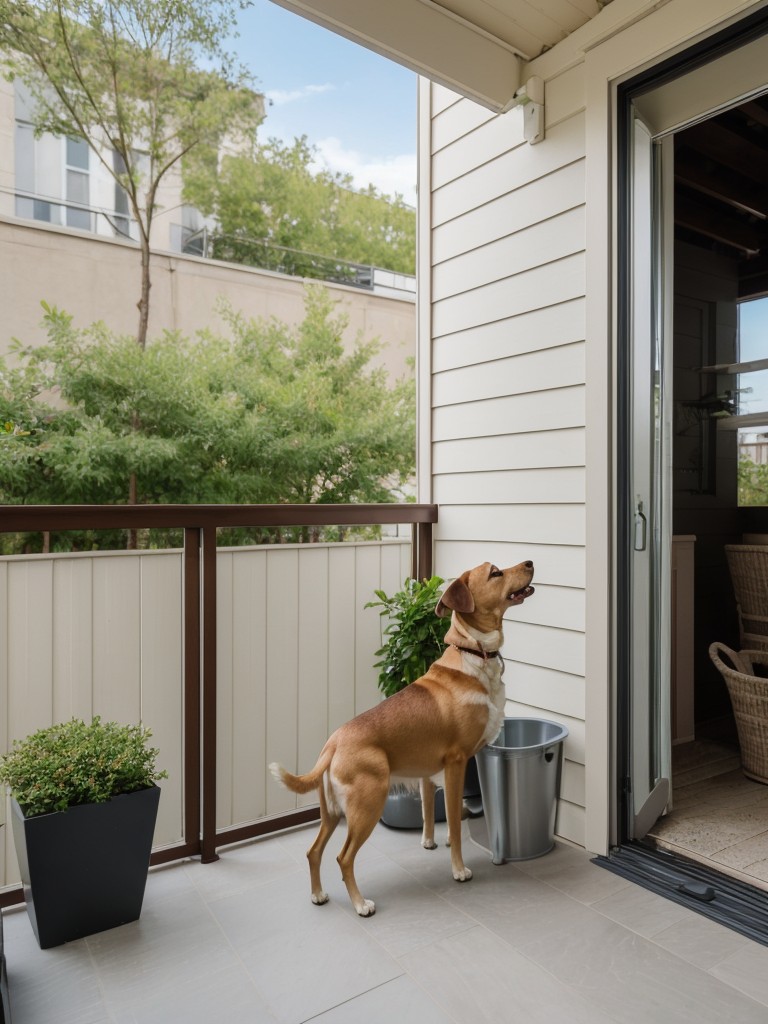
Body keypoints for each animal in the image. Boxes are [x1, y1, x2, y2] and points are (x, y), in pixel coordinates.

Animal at [270, 561, 536, 921]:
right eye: (495, 572)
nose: (530, 563)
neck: (473, 652)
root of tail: (332, 744)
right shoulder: (456, 763)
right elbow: (454, 824)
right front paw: (458, 869)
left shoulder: (430, 773)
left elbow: (430, 812)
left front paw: (431, 843)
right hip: (367, 806)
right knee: (343, 857)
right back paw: (360, 904)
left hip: (332, 814)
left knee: (314, 852)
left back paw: (318, 895)